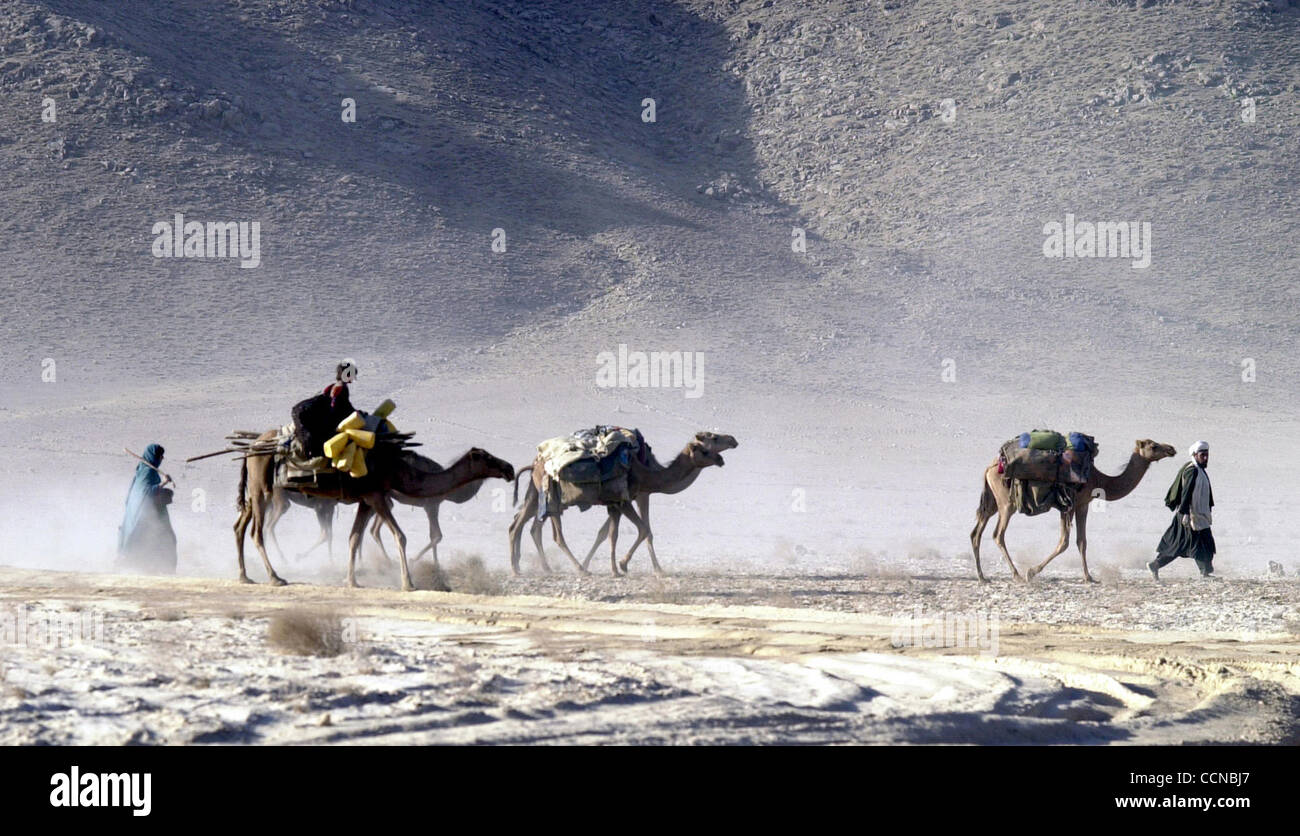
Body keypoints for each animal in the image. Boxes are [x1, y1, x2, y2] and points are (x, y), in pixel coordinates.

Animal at [233, 431, 512, 595]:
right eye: (487, 457)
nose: (508, 468)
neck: (399, 469)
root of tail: (252, 447)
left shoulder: (366, 500)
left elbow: (354, 538)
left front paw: (352, 581)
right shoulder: (378, 496)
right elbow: (400, 536)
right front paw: (408, 583)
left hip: (257, 490)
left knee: (240, 525)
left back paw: (245, 576)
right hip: (264, 488)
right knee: (257, 531)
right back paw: (275, 577)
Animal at [504, 431, 738, 574]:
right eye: (710, 441)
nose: (732, 440)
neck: (645, 472)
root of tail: (536, 462)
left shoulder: (615, 502)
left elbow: (609, 534)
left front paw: (617, 568)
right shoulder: (627, 499)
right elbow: (644, 530)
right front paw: (625, 566)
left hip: (537, 493)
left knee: (519, 523)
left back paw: (521, 568)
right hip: (552, 498)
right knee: (554, 534)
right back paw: (579, 569)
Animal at [967, 439, 1180, 582]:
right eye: (1153, 446)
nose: (1171, 448)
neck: (1100, 480)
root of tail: (990, 468)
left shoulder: (1081, 505)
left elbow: (1081, 541)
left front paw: (1089, 577)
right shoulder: (1069, 505)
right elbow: (1065, 542)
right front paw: (1031, 572)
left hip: (992, 502)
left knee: (976, 532)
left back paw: (982, 577)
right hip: (1006, 503)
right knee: (998, 534)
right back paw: (1017, 575)